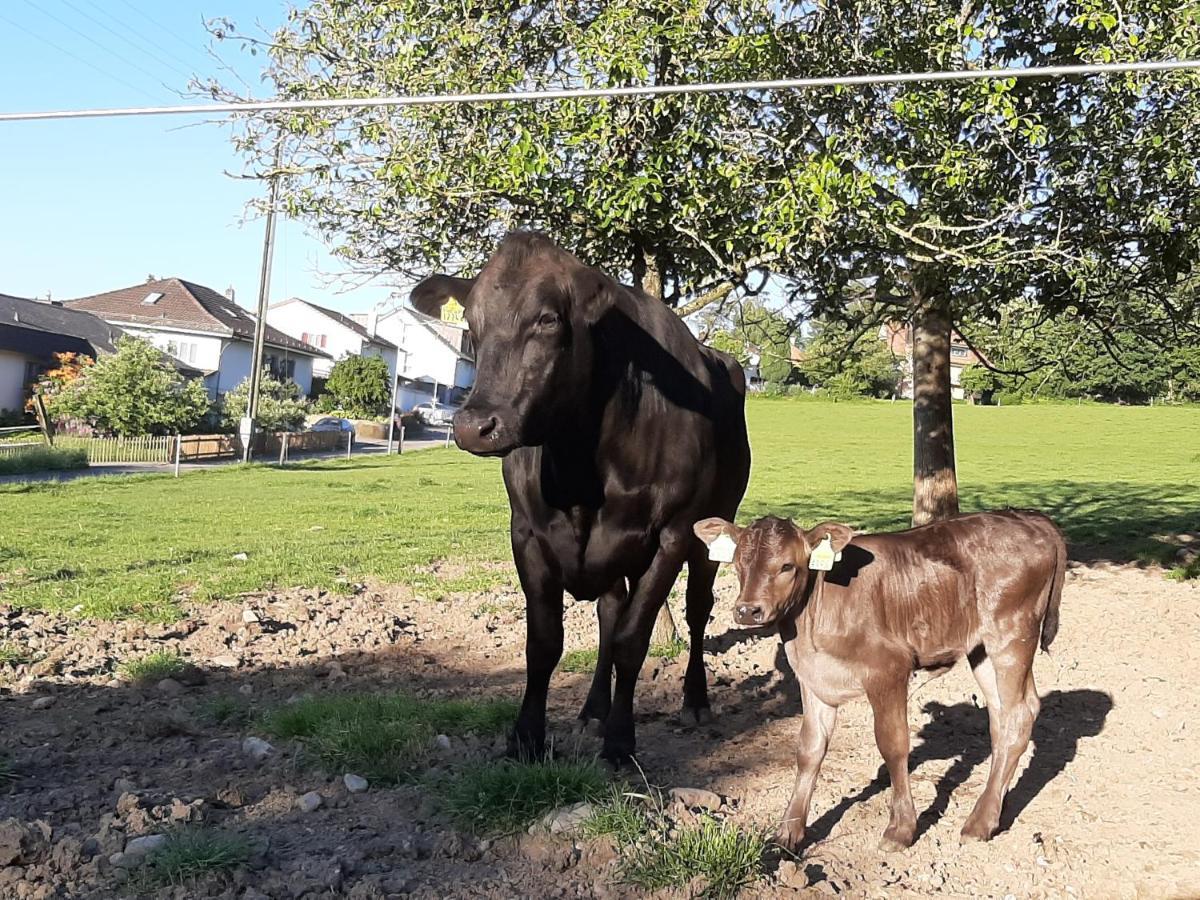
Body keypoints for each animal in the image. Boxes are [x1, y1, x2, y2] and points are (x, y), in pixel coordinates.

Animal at [412, 232, 748, 763]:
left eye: (548, 319)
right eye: (471, 322)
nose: (474, 426)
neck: (579, 472)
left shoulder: (671, 534)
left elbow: (634, 640)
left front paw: (621, 741)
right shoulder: (527, 532)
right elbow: (545, 642)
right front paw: (526, 737)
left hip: (715, 522)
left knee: (697, 608)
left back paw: (694, 701)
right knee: (611, 610)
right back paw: (593, 709)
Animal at [696, 513, 1070, 854]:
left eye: (788, 565)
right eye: (737, 562)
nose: (748, 611)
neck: (809, 622)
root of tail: (1029, 517)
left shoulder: (888, 669)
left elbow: (893, 745)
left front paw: (900, 829)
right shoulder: (812, 677)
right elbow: (810, 749)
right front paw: (789, 831)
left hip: (1011, 634)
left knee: (1019, 714)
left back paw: (979, 822)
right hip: (981, 649)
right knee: (1002, 717)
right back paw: (994, 806)